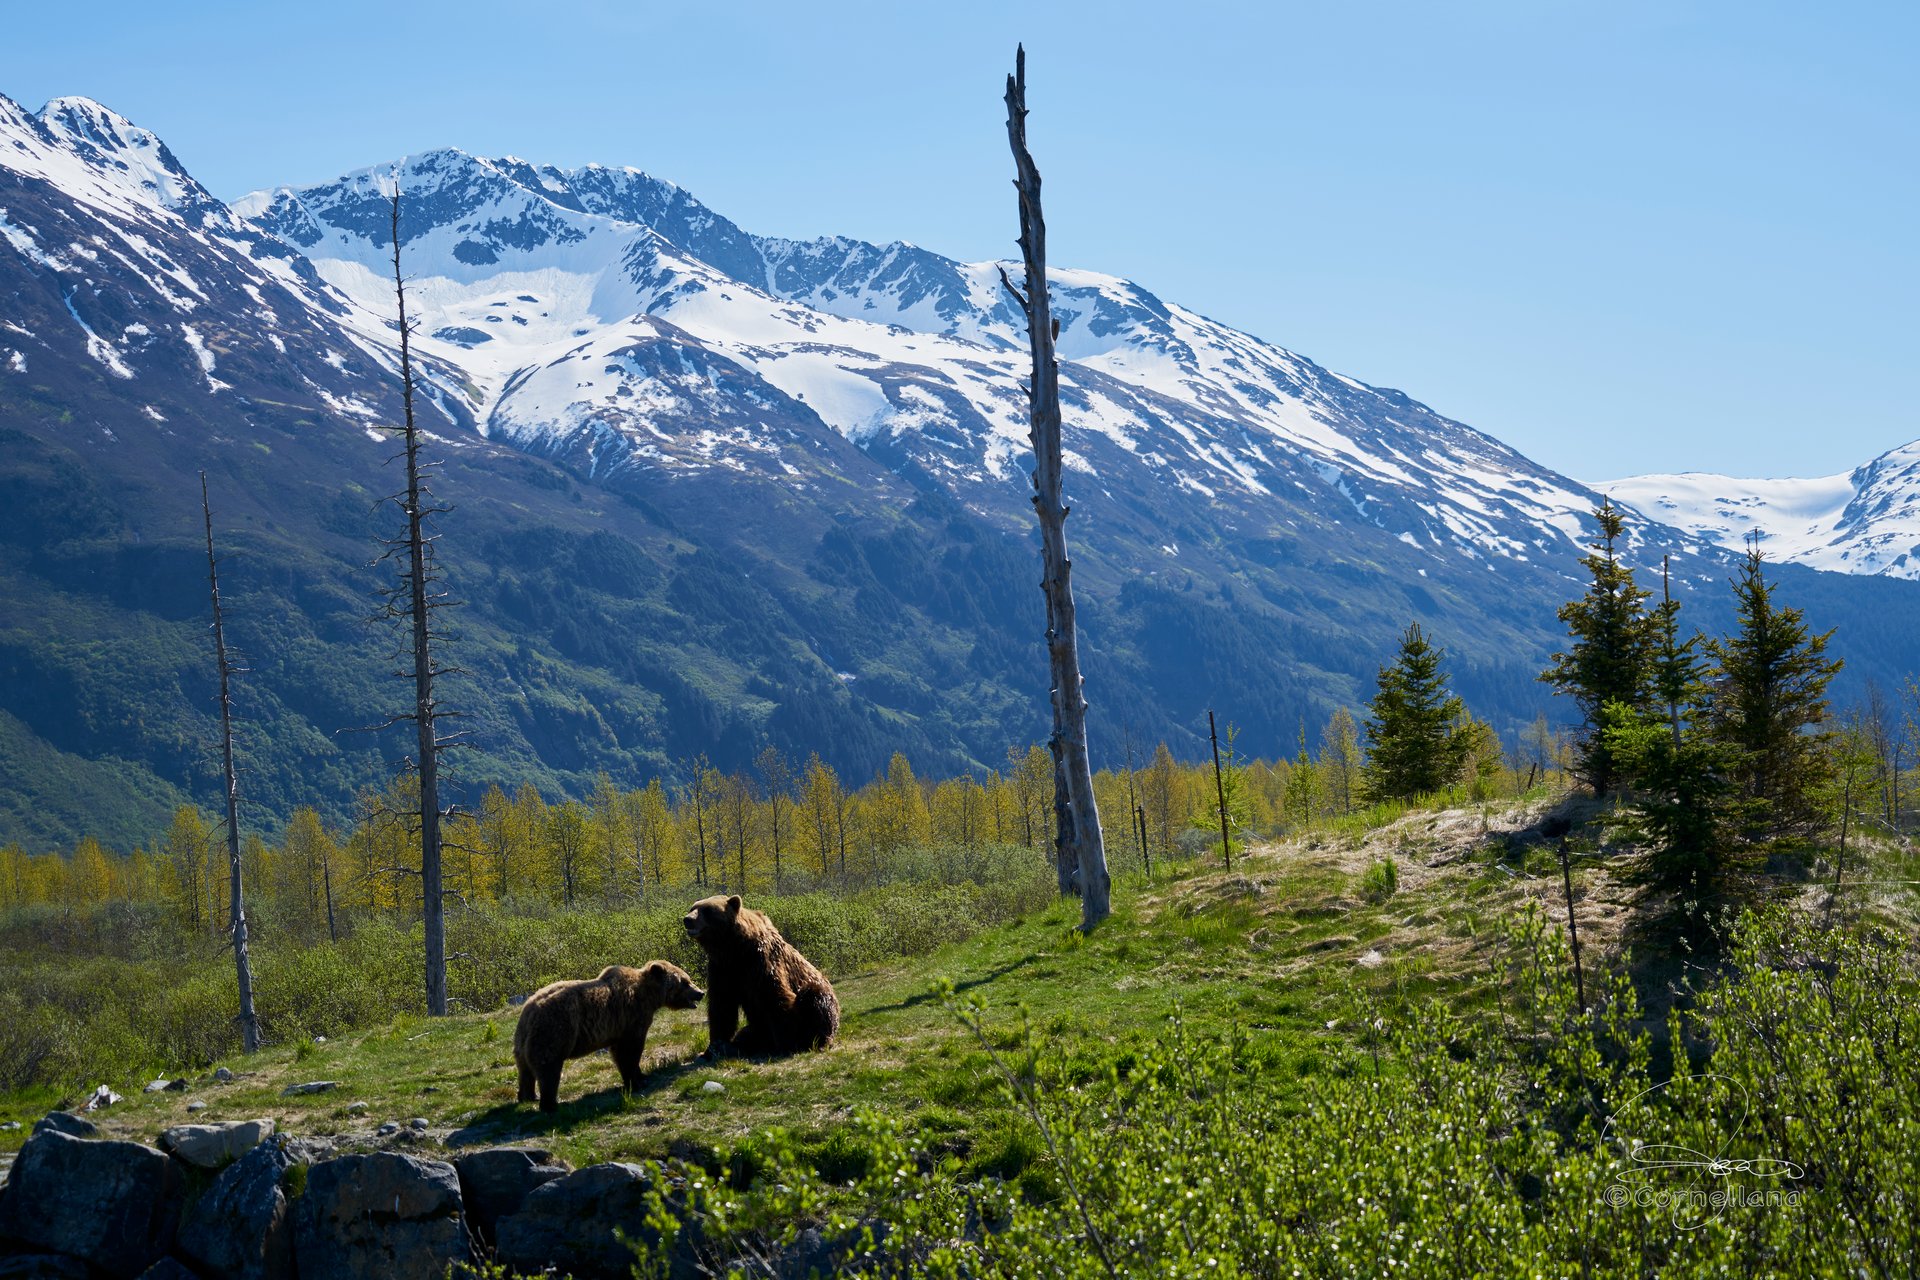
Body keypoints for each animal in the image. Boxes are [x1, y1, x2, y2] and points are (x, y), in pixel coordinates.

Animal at [513, 960, 704, 1112]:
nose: (701, 993)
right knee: (548, 1067)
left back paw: (528, 1096)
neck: (650, 997)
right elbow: (630, 1051)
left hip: (523, 1041)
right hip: (554, 1029)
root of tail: (529, 1011)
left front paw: (641, 1076)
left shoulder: (618, 1027)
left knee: (525, 1069)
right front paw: (635, 1082)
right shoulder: (631, 1018)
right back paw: (550, 1104)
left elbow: (620, 1053)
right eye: (685, 981)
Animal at [681, 894, 840, 1056]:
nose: (687, 919)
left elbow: (774, 996)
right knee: (747, 1034)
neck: (734, 948)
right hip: (757, 1026)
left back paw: (817, 1040)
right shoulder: (722, 969)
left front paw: (787, 1043)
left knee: (815, 999)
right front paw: (714, 1046)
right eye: (692, 908)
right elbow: (721, 1005)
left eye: (707, 910)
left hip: (818, 996)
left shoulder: (761, 961)